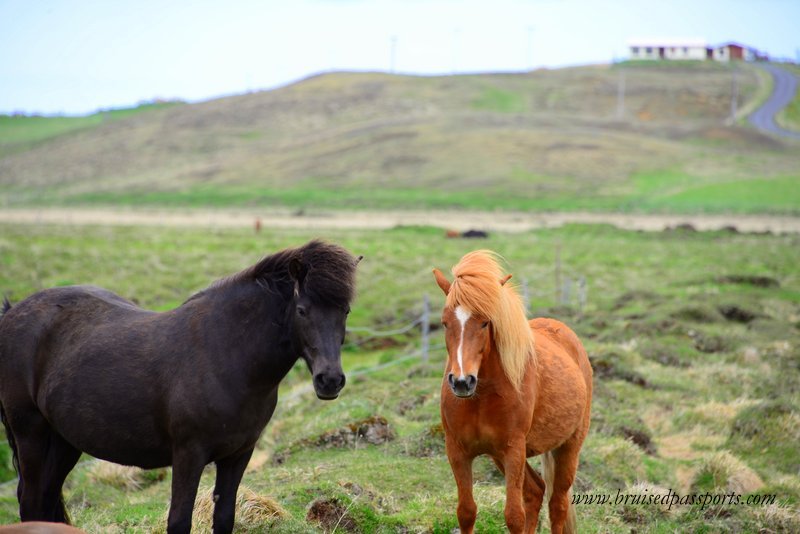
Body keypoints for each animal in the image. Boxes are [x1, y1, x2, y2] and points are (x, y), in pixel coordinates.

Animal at [0, 242, 360, 534]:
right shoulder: (189, 455)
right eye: (302, 310)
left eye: (345, 310)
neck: (226, 355)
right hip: (30, 433)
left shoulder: (238, 455)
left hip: (63, 441)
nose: (330, 380)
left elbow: (224, 518)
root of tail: (13, 312)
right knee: (31, 501)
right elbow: (179, 521)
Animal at [432, 252, 592, 534]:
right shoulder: (458, 451)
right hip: (500, 456)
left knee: (557, 504)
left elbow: (514, 516)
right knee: (536, 492)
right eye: (444, 323)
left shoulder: (513, 451)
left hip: (568, 447)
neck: (481, 398)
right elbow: (466, 512)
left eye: (485, 322)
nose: (462, 382)